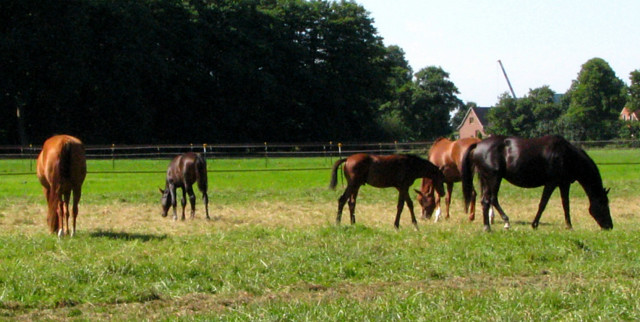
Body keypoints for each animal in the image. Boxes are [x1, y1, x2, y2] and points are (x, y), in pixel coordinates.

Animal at [462, 135, 612, 231]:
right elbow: (543, 204)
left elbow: (566, 205)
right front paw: (534, 224)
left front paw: (569, 226)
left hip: (486, 180)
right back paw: (505, 222)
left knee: (485, 201)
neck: (567, 155)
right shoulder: (551, 183)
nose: (610, 226)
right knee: (493, 199)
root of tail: (478, 145)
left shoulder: (564, 184)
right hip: (494, 178)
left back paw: (487, 227)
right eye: (604, 204)